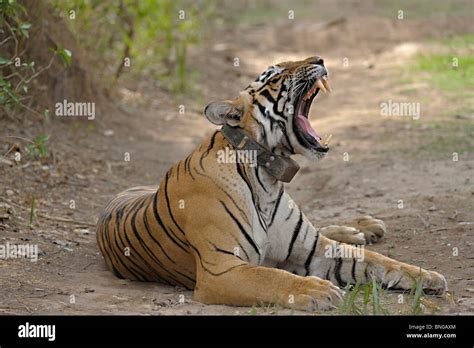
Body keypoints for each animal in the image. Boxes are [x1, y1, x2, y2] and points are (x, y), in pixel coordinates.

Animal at [97, 55, 448, 312]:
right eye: (276, 74)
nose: (319, 58)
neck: (267, 179)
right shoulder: (221, 269)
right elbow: (271, 277)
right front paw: (317, 289)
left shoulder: (314, 250)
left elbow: (379, 261)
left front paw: (427, 275)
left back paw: (363, 227)